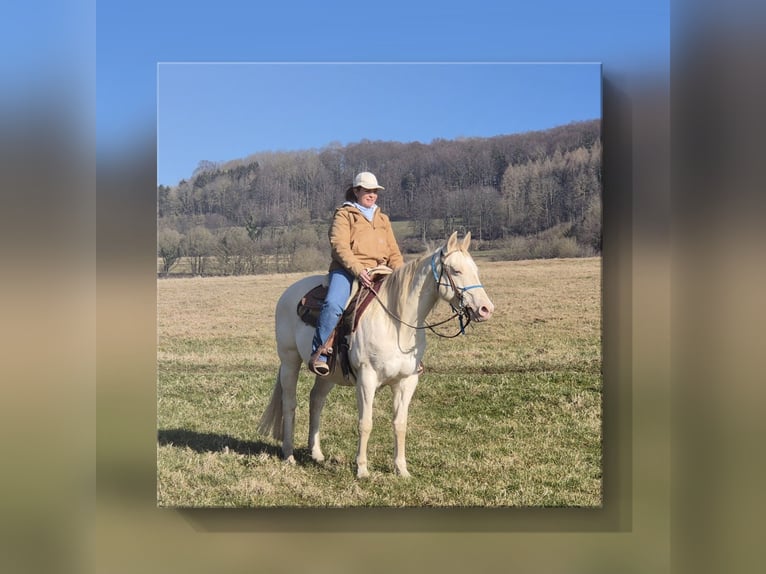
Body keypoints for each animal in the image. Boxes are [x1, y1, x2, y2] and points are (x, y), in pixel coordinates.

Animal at [260, 232, 498, 480]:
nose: (486, 309)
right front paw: (362, 469)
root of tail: (290, 292)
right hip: (289, 360)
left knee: (316, 400)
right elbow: (365, 423)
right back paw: (289, 455)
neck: (397, 324)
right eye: (456, 270)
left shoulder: (407, 381)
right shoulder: (367, 378)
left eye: (475, 270)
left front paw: (401, 469)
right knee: (289, 403)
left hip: (328, 373)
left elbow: (400, 423)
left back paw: (316, 453)